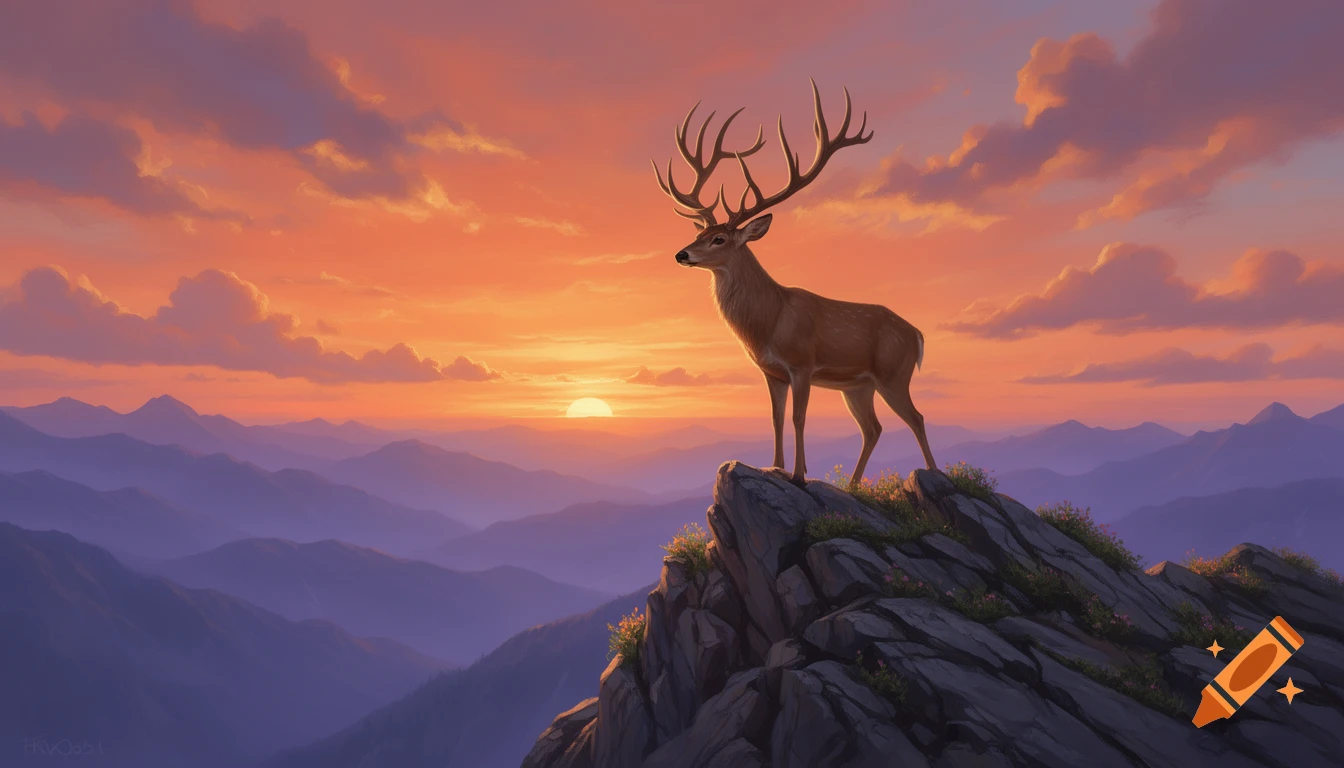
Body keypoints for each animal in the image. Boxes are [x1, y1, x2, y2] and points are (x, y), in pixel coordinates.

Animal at [652, 79, 936, 490]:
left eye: (719, 239)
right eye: (700, 232)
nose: (681, 254)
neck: (770, 322)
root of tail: (917, 334)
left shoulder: (803, 363)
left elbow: (798, 418)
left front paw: (800, 476)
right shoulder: (771, 372)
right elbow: (775, 418)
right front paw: (775, 466)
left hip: (893, 373)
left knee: (916, 417)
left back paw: (934, 473)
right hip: (858, 386)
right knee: (873, 428)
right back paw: (852, 484)